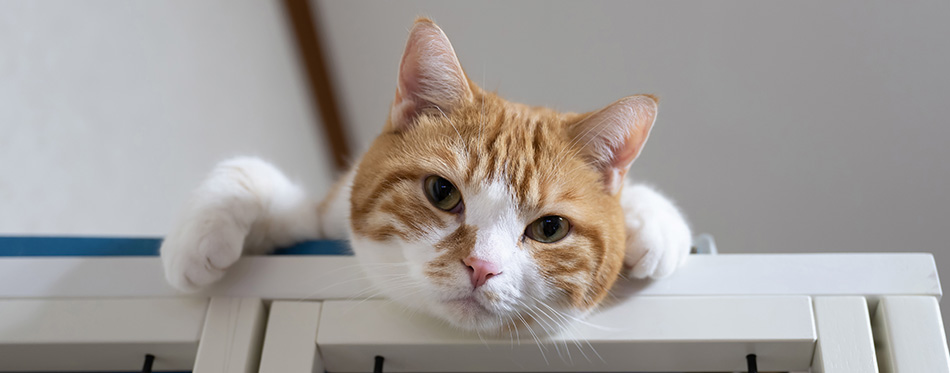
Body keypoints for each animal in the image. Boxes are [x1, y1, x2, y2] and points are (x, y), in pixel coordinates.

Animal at [162, 17, 692, 332]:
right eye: (442, 192)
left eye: (549, 228)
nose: (482, 267)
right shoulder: (319, 218)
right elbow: (249, 177)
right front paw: (198, 236)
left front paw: (655, 224)